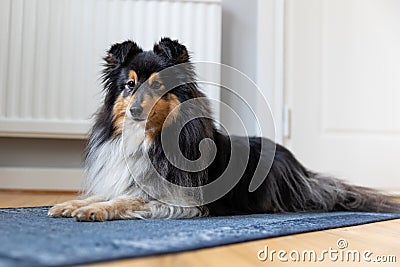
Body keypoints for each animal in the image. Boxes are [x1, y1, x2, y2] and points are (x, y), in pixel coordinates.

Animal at [48, 37, 398, 222]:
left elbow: (127, 200)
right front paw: (70, 205)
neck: (146, 141)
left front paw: (95, 210)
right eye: (129, 85)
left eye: (158, 86)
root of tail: (302, 169)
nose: (135, 111)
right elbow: (107, 193)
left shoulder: (178, 200)